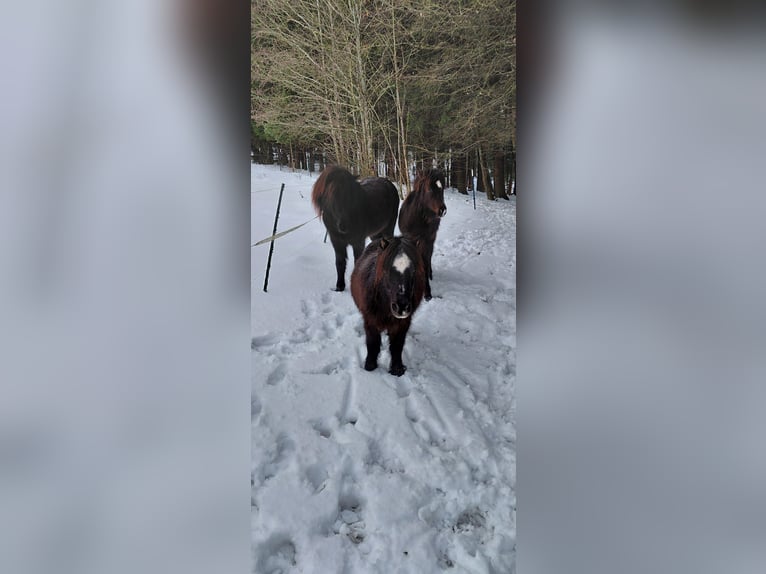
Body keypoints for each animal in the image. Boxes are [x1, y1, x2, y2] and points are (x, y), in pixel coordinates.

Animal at [350, 236, 426, 376]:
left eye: (413, 271)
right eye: (388, 270)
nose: (401, 307)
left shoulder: (403, 323)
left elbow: (397, 346)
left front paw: (397, 369)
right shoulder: (370, 321)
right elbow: (373, 343)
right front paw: (370, 366)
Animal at [397, 168, 447, 300]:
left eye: (442, 189)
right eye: (429, 189)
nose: (442, 210)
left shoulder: (426, 240)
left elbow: (424, 262)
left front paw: (427, 293)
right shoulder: (411, 239)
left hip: (430, 240)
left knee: (428, 257)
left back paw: (430, 274)